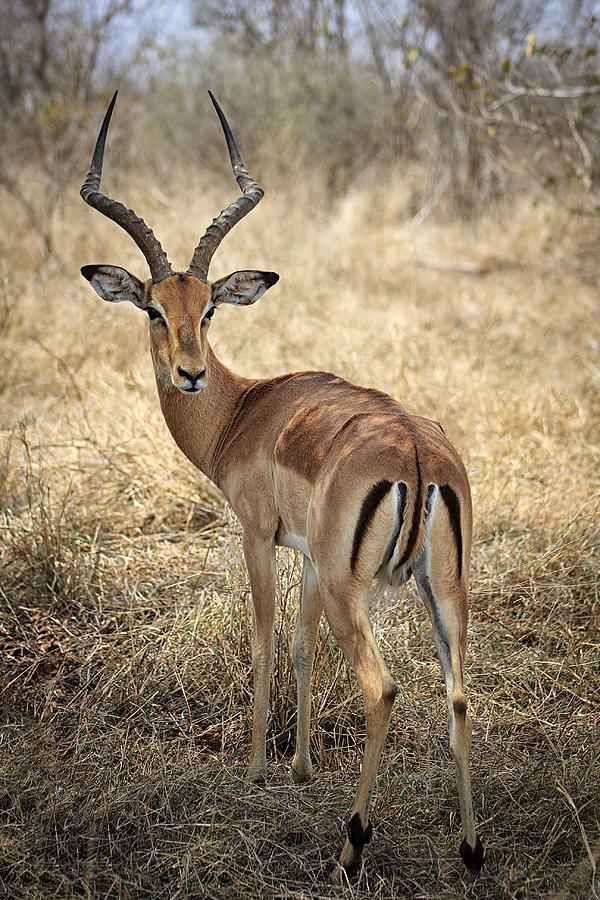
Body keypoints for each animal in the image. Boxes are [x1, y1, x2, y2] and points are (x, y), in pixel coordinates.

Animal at [81, 91, 482, 880]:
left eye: (208, 309)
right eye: (155, 308)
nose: (190, 372)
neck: (244, 409)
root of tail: (416, 453)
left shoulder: (258, 535)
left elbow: (265, 638)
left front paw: (258, 769)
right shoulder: (307, 556)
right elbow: (300, 646)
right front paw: (298, 767)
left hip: (357, 590)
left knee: (382, 689)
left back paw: (351, 849)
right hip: (439, 589)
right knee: (458, 696)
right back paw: (471, 849)